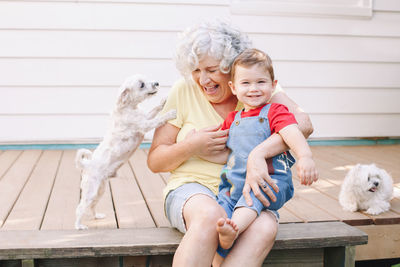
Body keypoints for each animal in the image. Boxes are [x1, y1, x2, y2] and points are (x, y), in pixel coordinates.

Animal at [75, 75, 175, 230]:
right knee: (80, 208)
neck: (129, 108)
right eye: (141, 85)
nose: (157, 83)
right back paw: (79, 226)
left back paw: (97, 216)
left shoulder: (145, 117)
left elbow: (154, 110)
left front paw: (163, 101)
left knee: (91, 206)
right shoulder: (145, 124)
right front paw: (171, 113)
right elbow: (159, 119)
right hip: (90, 192)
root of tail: (87, 165)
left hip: (100, 190)